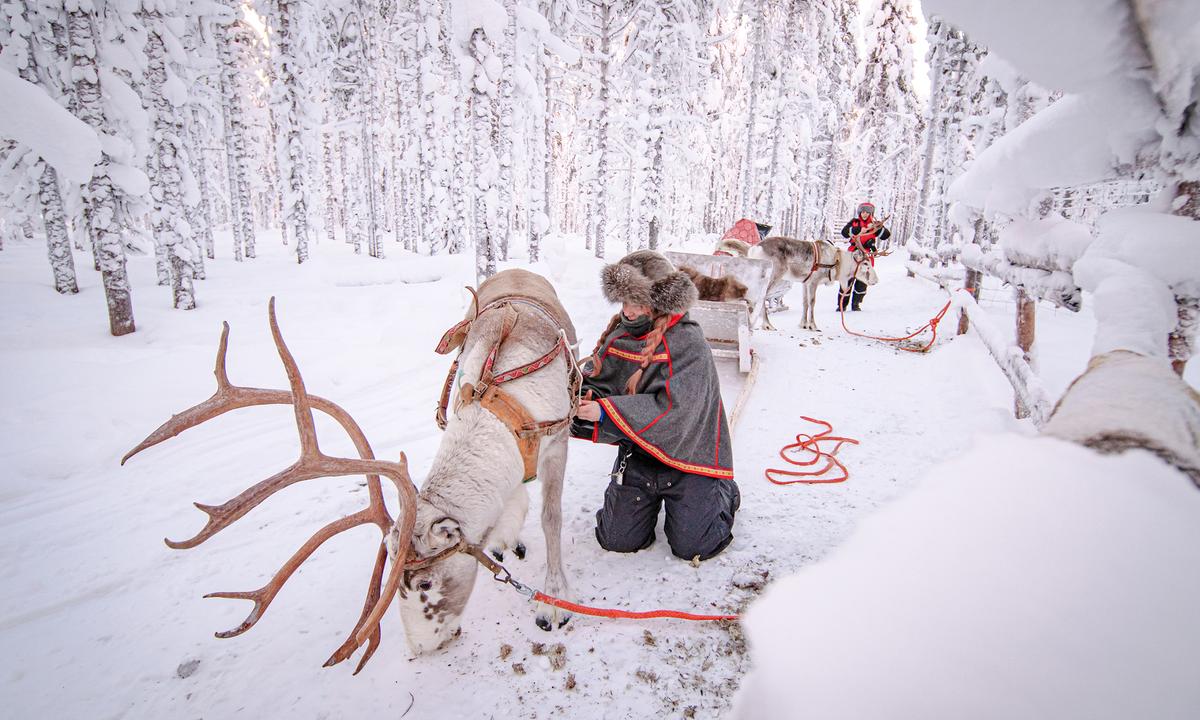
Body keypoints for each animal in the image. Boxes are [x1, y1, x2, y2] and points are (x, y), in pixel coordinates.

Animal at [123, 268, 580, 671]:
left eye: (425, 584)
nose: (420, 649)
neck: (502, 406)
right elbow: (514, 502)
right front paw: (504, 537)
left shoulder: (557, 440)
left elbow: (551, 517)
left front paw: (554, 600)